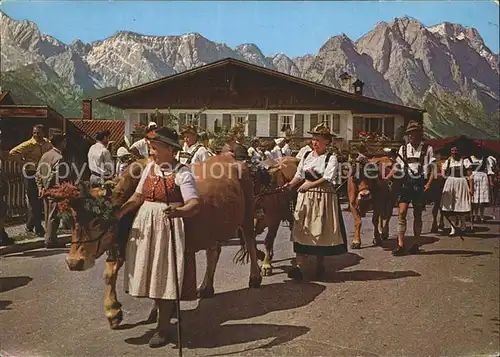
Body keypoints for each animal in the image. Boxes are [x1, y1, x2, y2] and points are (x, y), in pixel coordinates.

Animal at [44, 154, 262, 326]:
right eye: (71, 221)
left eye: (97, 221)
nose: (74, 262)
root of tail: (232, 158)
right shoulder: (118, 244)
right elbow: (109, 274)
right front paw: (113, 312)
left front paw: (159, 310)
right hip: (212, 228)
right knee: (214, 252)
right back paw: (206, 288)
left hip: (248, 215)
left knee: (250, 243)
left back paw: (255, 278)